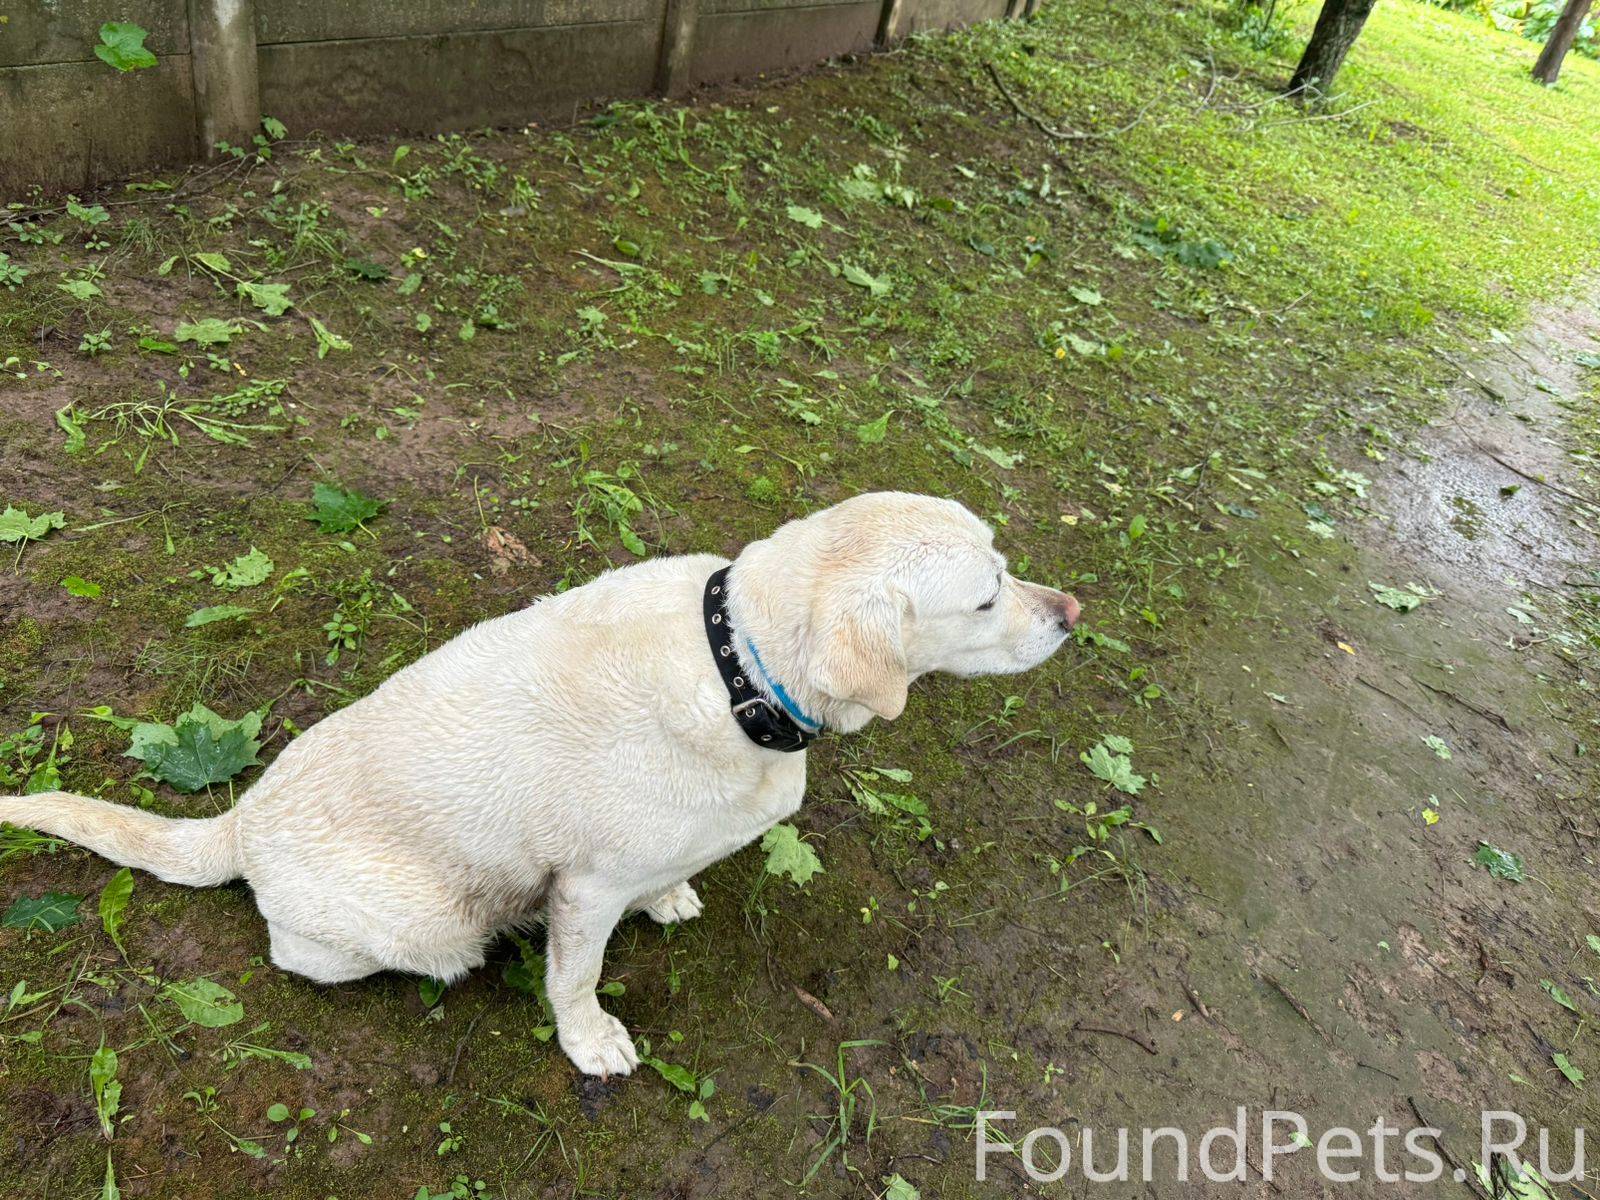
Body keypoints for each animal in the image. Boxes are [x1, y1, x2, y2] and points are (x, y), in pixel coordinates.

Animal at [6, 492, 1075, 1075]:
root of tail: (242, 818)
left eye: (1005, 564)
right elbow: (577, 975)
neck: (736, 670)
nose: (1073, 612)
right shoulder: (586, 889)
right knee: (310, 953)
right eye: (987, 597)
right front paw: (588, 1039)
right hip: (427, 925)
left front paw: (671, 899)